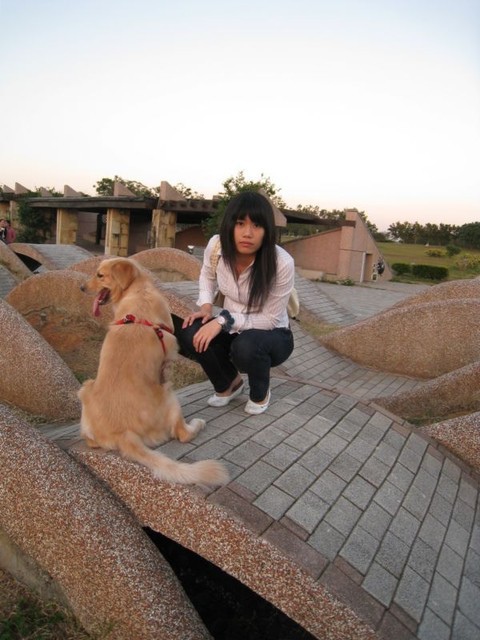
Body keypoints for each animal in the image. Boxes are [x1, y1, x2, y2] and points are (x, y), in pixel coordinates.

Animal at [78, 257, 228, 486]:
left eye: (100, 275)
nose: (81, 287)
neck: (138, 291)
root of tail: (124, 432)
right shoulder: (167, 361)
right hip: (168, 394)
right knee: (182, 433)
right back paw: (197, 424)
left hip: (86, 388)